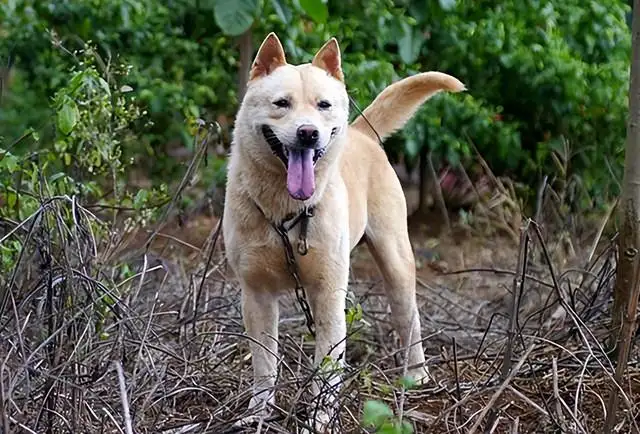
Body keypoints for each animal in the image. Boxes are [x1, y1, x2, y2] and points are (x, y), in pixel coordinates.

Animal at [222, 31, 462, 430]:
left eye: (323, 105)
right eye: (281, 103)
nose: (308, 133)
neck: (287, 213)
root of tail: (360, 132)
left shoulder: (328, 293)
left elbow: (327, 367)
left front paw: (319, 417)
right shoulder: (256, 294)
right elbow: (264, 363)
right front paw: (258, 413)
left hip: (396, 262)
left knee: (409, 320)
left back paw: (416, 374)